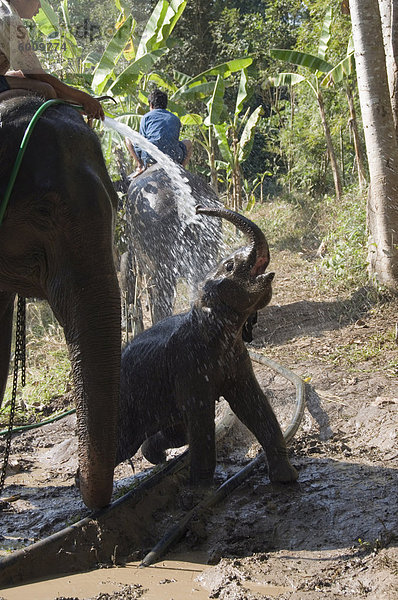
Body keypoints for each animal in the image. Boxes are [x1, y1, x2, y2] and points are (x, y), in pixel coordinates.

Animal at [116, 206, 296, 488]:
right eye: (230, 266)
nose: (199, 209)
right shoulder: (189, 366)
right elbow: (202, 420)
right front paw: (201, 489)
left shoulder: (237, 360)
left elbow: (253, 404)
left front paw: (286, 479)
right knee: (122, 445)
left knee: (176, 432)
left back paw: (156, 456)